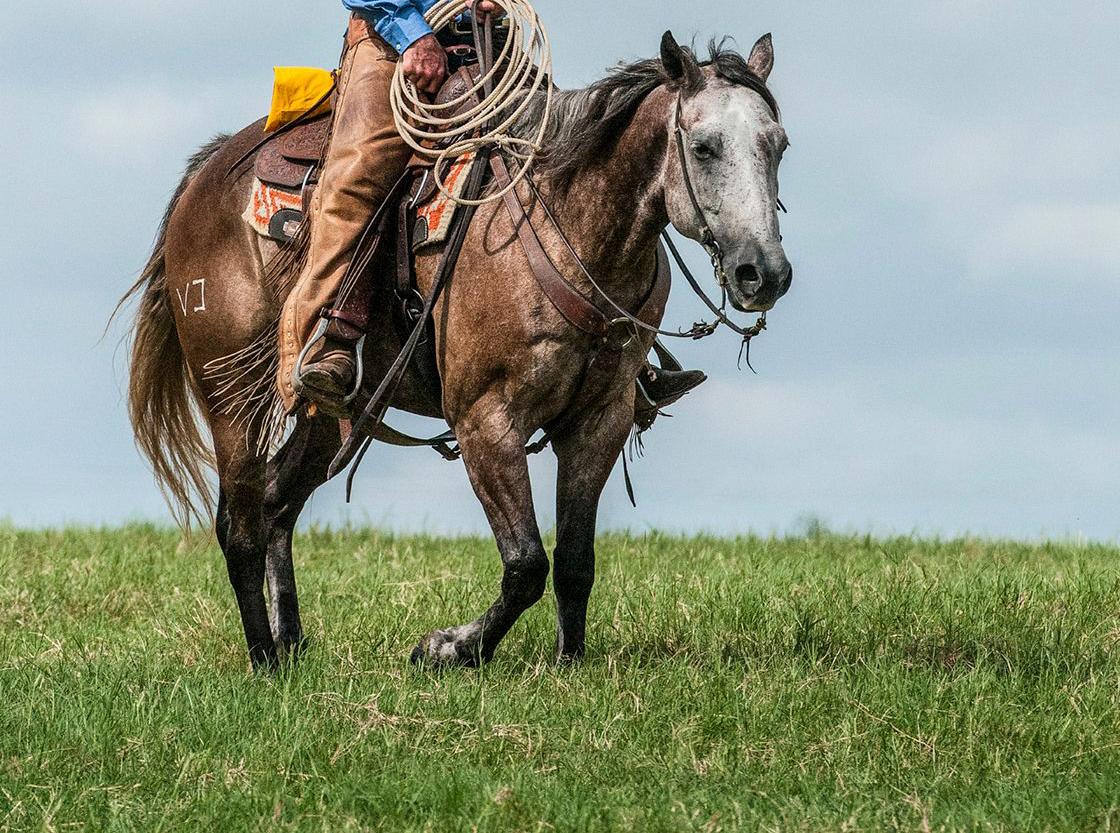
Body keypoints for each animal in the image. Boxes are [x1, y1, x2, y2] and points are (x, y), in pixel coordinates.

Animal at [120, 29, 788, 671]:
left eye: (777, 145)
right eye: (703, 146)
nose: (764, 273)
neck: (568, 227)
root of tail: (205, 176)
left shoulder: (601, 419)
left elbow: (575, 560)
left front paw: (569, 664)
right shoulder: (485, 421)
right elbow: (526, 565)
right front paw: (449, 648)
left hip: (332, 413)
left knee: (277, 501)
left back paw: (291, 645)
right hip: (229, 398)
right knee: (240, 526)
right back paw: (263, 661)